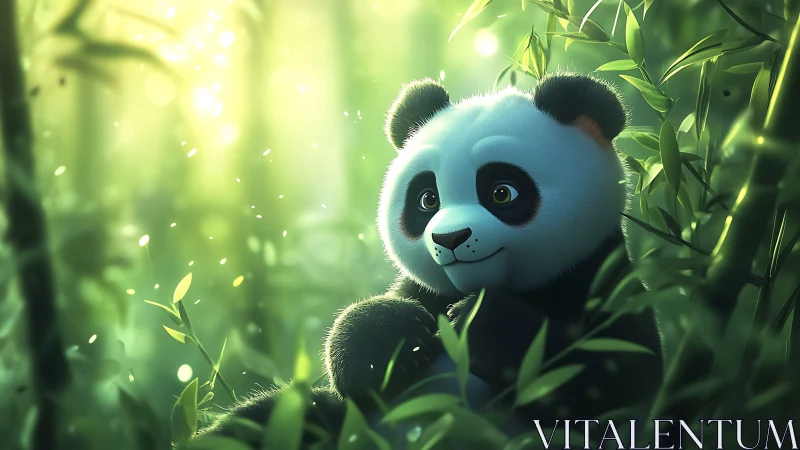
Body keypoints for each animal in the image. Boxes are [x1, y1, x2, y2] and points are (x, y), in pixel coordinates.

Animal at [195, 73, 664, 448]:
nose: (450, 238)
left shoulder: (603, 285)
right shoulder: (424, 291)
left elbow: (610, 385)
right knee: (272, 419)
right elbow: (352, 366)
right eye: (427, 199)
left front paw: (477, 320)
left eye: (502, 192)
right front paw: (398, 332)